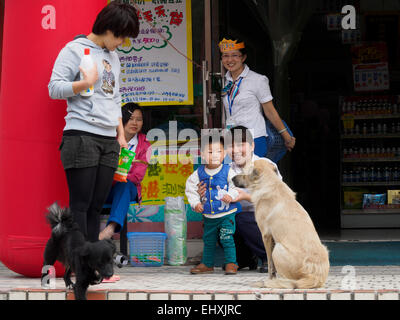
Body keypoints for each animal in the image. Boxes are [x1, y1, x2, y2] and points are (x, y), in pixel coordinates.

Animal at [231, 160, 328, 288]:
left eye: (244, 171)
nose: (231, 179)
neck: (270, 181)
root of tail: (315, 277)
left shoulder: (266, 236)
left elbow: (270, 265)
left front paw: (270, 279)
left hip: (278, 249)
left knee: (290, 280)